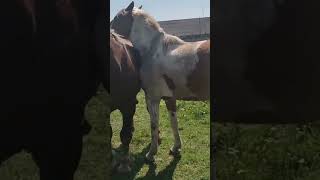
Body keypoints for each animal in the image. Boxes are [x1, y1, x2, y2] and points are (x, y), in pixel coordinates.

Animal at [110, 1, 210, 162]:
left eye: (117, 18)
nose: (110, 31)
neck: (152, 50)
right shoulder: (169, 98)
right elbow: (174, 123)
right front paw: (176, 148)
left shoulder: (153, 99)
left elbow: (154, 125)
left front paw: (151, 154)